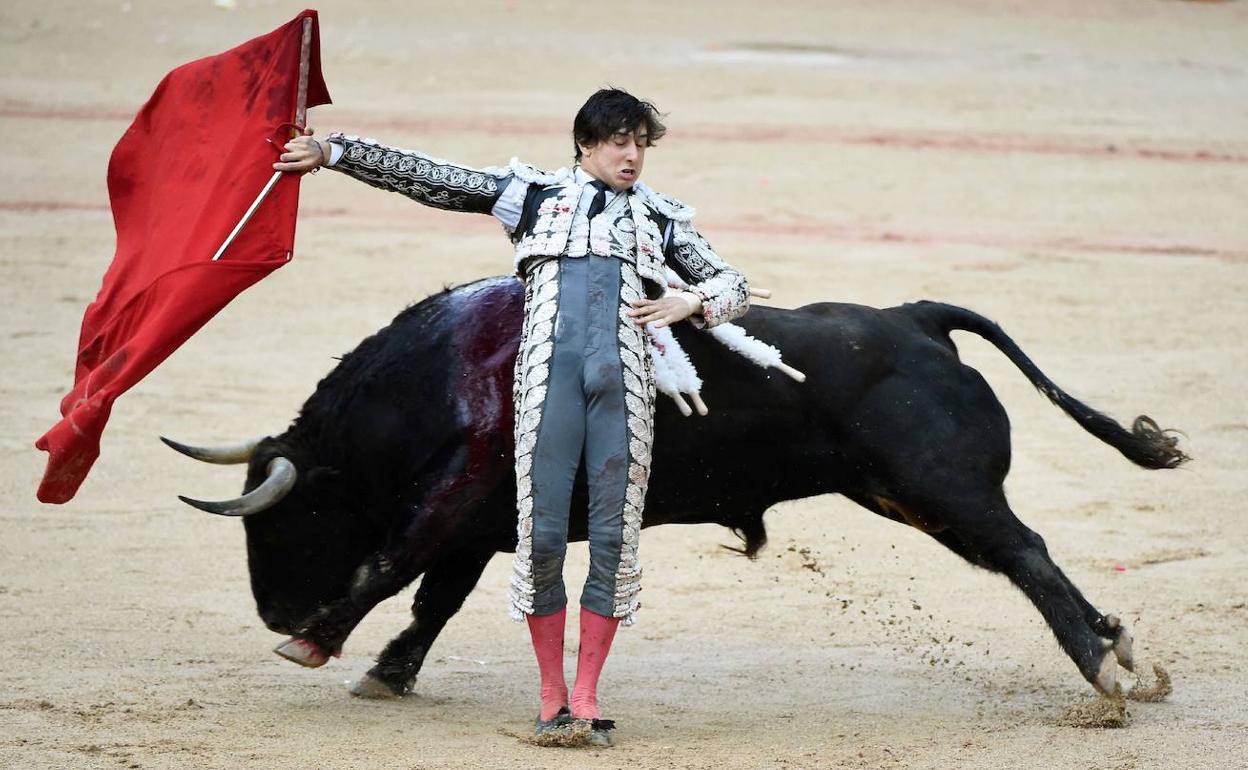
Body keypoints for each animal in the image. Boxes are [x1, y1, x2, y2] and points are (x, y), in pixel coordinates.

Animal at [168, 274, 1188, 698]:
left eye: (292, 516)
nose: (272, 610)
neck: (447, 375)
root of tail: (915, 317)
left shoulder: (453, 505)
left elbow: (390, 568)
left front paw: (316, 644)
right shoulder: (483, 525)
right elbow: (436, 600)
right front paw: (387, 674)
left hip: (944, 491)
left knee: (1027, 554)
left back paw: (1103, 664)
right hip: (910, 496)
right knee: (1026, 557)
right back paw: (1120, 652)